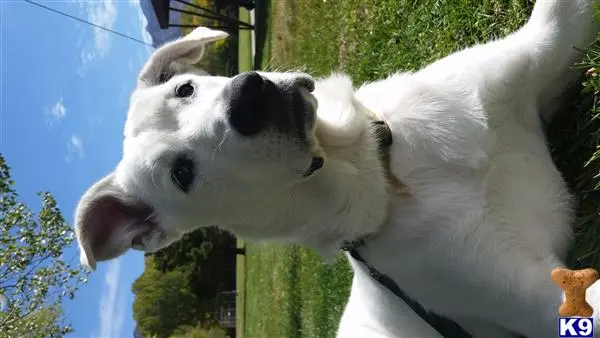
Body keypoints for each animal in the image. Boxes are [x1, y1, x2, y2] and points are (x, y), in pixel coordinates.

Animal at [74, 1, 600, 336]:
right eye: (181, 175)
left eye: (183, 89)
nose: (250, 98)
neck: (384, 172)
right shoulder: (538, 299)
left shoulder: (547, 40)